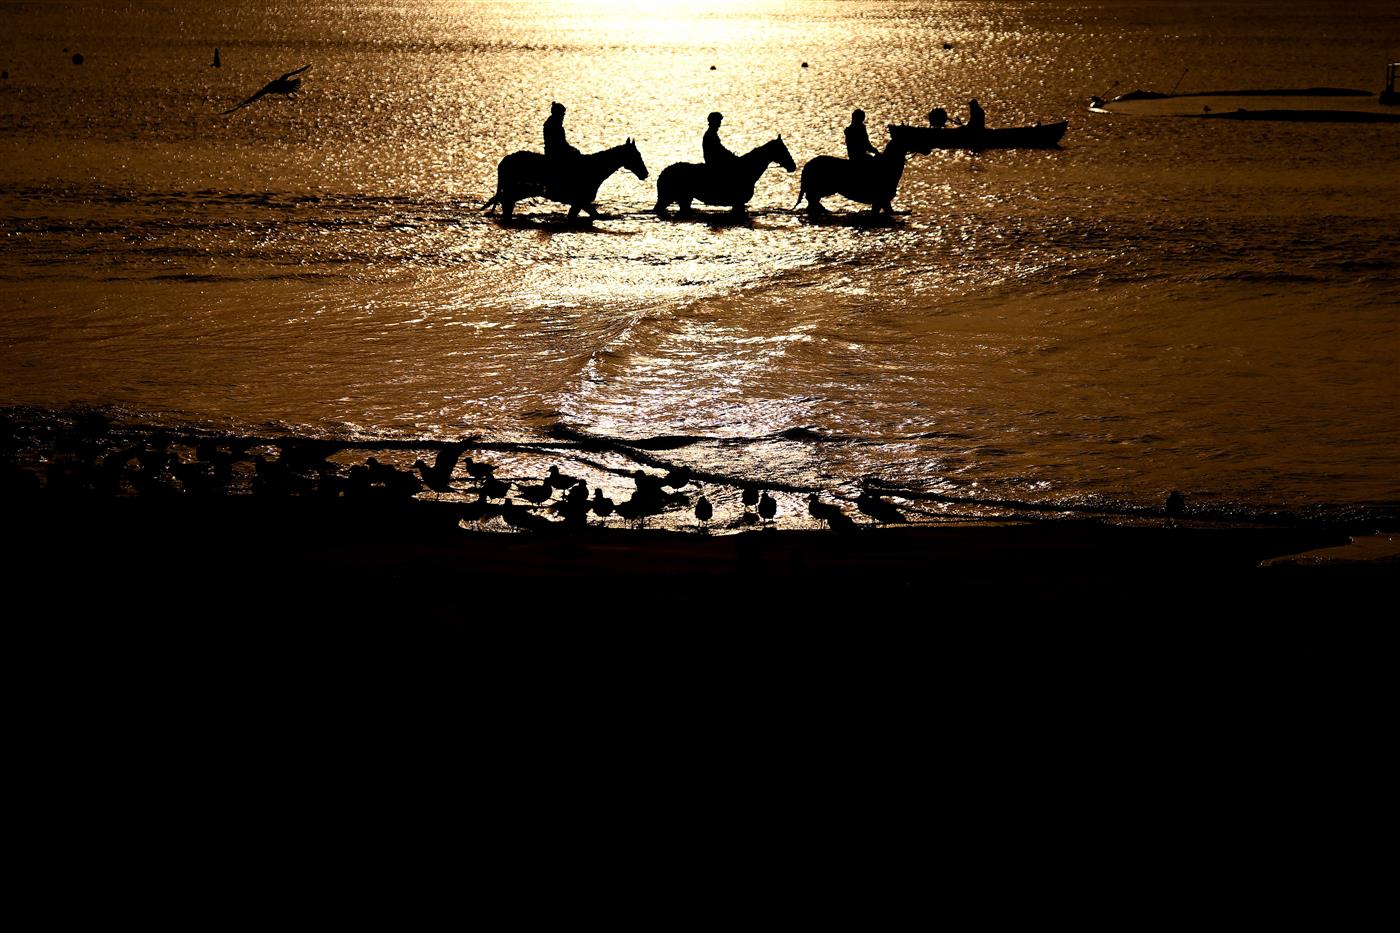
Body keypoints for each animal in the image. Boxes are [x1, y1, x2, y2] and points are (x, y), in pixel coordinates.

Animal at [483, 139, 648, 222]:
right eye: (636, 155)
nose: (645, 174)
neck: (594, 168)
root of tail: (504, 161)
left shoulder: (580, 203)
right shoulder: (580, 202)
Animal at [653, 136, 796, 216]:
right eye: (783, 150)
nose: (793, 166)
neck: (747, 169)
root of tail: (663, 172)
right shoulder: (738, 203)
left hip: (683, 199)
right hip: (669, 197)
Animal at [794, 124, 932, 215]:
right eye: (912, 135)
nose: (928, 149)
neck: (889, 165)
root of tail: (807, 165)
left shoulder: (880, 202)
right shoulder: (881, 199)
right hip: (823, 188)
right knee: (812, 200)